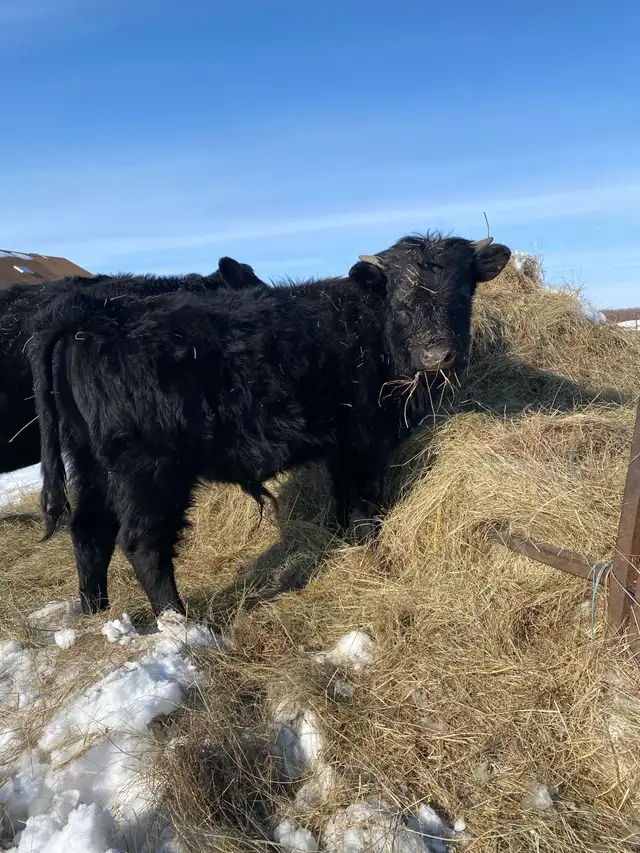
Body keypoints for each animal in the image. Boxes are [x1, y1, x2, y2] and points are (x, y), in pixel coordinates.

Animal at [29, 233, 510, 616]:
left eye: (461, 294)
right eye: (403, 303)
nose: (439, 355)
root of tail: (90, 318)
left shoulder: (342, 444)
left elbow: (342, 500)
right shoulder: (366, 439)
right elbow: (364, 504)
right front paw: (370, 551)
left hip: (89, 461)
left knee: (89, 531)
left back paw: (95, 610)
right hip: (147, 469)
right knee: (142, 543)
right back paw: (178, 621)